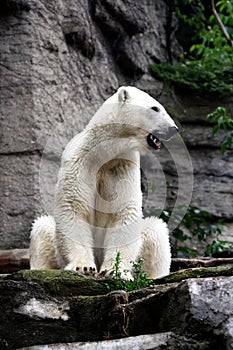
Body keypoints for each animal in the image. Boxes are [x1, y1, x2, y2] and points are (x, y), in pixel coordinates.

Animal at [29, 87, 178, 278]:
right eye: (155, 108)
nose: (174, 129)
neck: (104, 153)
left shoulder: (123, 166)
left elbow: (124, 211)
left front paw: (116, 271)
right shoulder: (81, 163)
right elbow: (74, 207)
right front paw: (83, 267)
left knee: (156, 230)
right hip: (54, 247)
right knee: (42, 229)